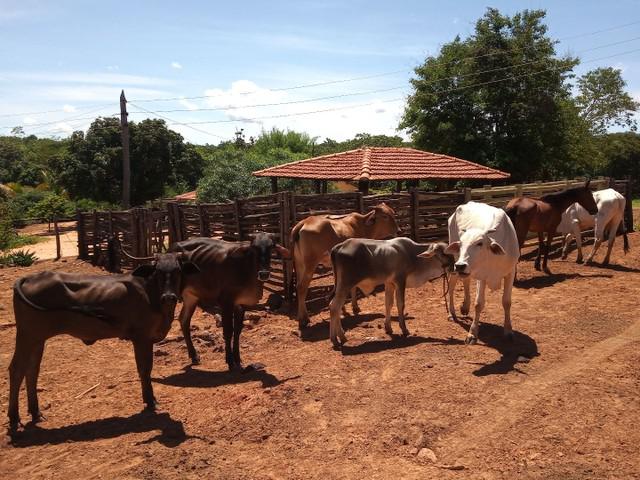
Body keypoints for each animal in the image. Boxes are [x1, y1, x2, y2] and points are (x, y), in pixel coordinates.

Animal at [7, 251, 198, 432]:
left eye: (178, 270)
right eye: (158, 271)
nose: (169, 297)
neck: (151, 294)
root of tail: (30, 278)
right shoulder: (141, 338)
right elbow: (145, 369)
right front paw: (150, 401)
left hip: (37, 339)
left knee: (31, 370)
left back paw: (35, 412)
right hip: (27, 336)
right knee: (17, 370)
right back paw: (14, 418)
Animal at [292, 202, 400, 330]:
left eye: (393, 213)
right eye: (384, 216)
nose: (398, 230)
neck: (364, 227)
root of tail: (303, 223)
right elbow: (353, 286)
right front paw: (355, 307)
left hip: (299, 264)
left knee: (298, 286)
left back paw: (301, 317)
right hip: (310, 264)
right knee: (302, 287)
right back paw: (304, 319)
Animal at [444, 202, 520, 344]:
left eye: (479, 243)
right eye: (461, 244)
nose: (460, 266)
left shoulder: (510, 273)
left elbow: (507, 302)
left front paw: (508, 330)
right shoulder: (482, 276)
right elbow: (478, 304)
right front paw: (472, 333)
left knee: (466, 280)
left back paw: (465, 307)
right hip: (456, 261)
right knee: (451, 285)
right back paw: (452, 313)